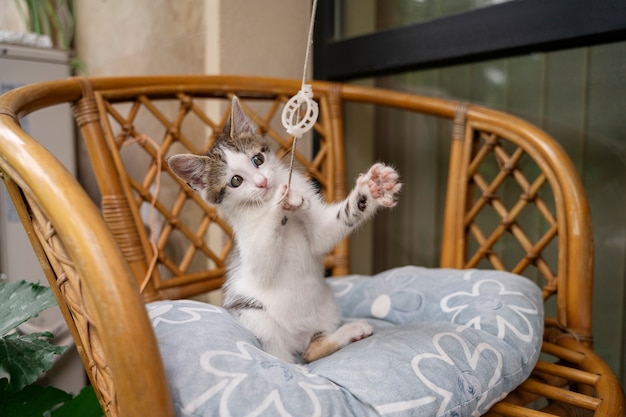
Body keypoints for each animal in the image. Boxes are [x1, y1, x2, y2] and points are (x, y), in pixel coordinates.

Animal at [167, 96, 400, 360]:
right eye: (235, 181)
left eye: (257, 159)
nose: (263, 182)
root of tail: (298, 339)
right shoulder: (251, 251)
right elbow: (264, 258)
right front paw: (280, 201)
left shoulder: (318, 229)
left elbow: (324, 233)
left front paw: (371, 189)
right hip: (253, 314)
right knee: (283, 358)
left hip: (327, 305)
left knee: (313, 351)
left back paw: (347, 332)